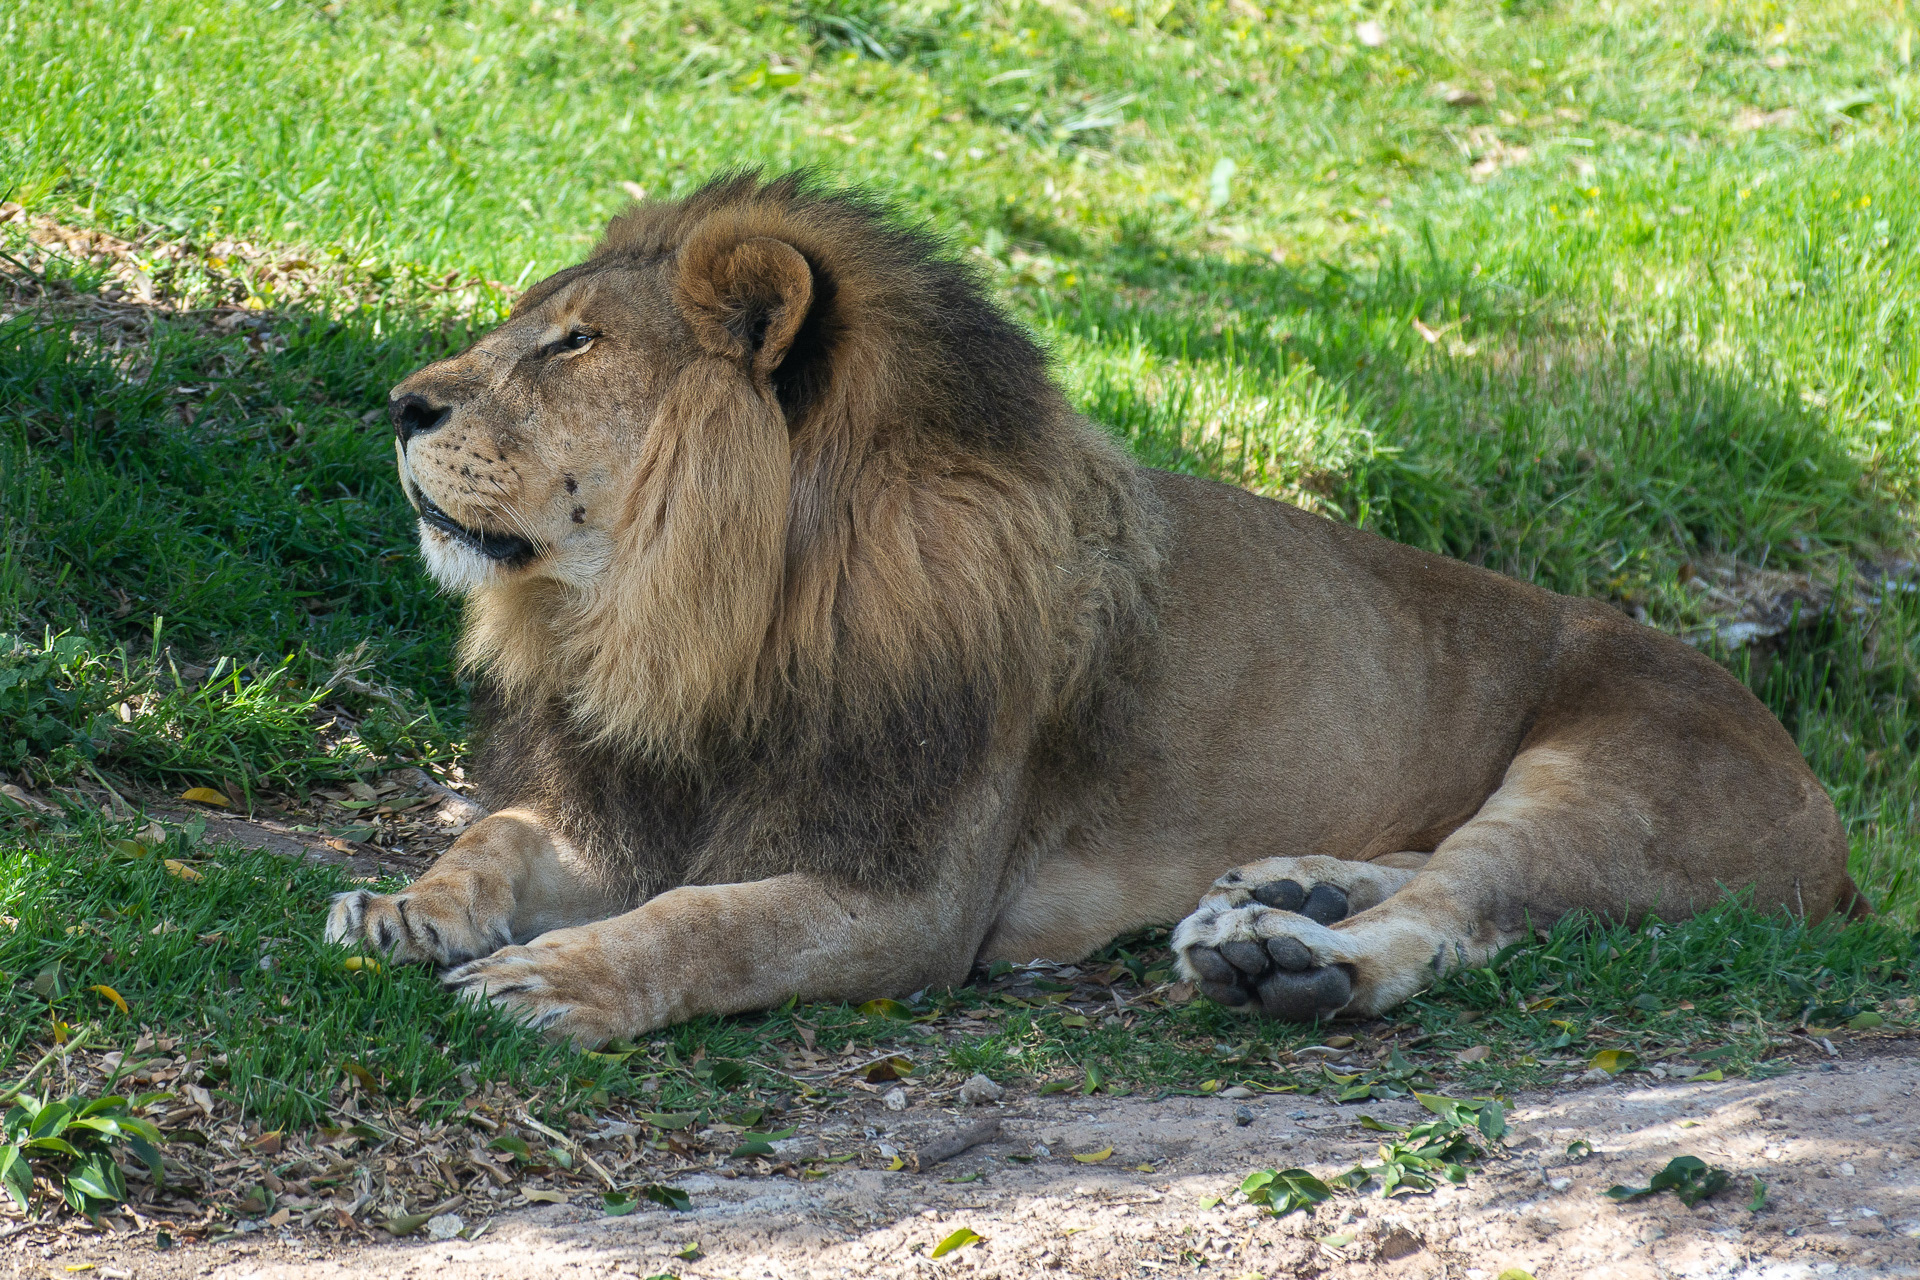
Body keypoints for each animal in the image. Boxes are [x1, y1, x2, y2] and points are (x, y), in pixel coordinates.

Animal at [326, 173, 1864, 1045]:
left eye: (573, 344)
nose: (400, 403)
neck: (684, 625)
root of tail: (1823, 804)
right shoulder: (631, 804)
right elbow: (495, 841)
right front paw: (403, 910)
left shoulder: (909, 897)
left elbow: (709, 925)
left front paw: (554, 984)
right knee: (1432, 874)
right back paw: (1280, 892)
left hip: (1616, 773)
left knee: (1459, 911)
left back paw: (1285, 960)